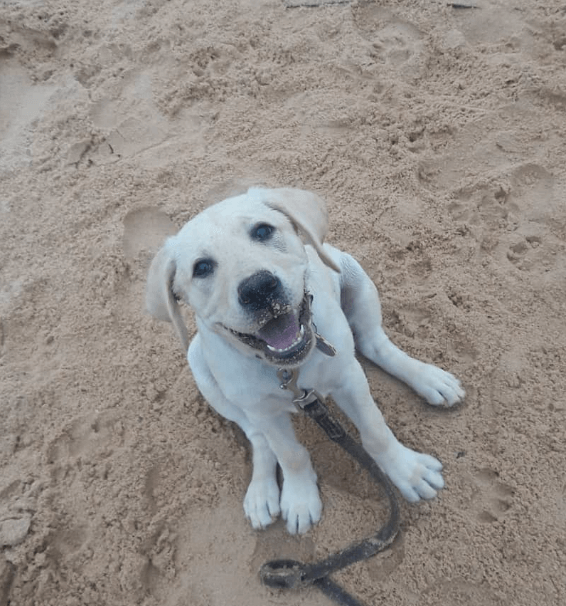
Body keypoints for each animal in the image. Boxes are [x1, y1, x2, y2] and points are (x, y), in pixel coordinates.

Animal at [146, 188, 466, 536]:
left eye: (263, 231)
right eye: (201, 267)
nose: (258, 288)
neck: (287, 369)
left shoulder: (348, 377)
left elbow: (375, 430)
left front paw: (407, 471)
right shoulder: (263, 411)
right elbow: (290, 454)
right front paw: (299, 498)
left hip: (353, 273)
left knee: (374, 343)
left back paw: (428, 378)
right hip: (203, 368)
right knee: (258, 438)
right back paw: (261, 493)